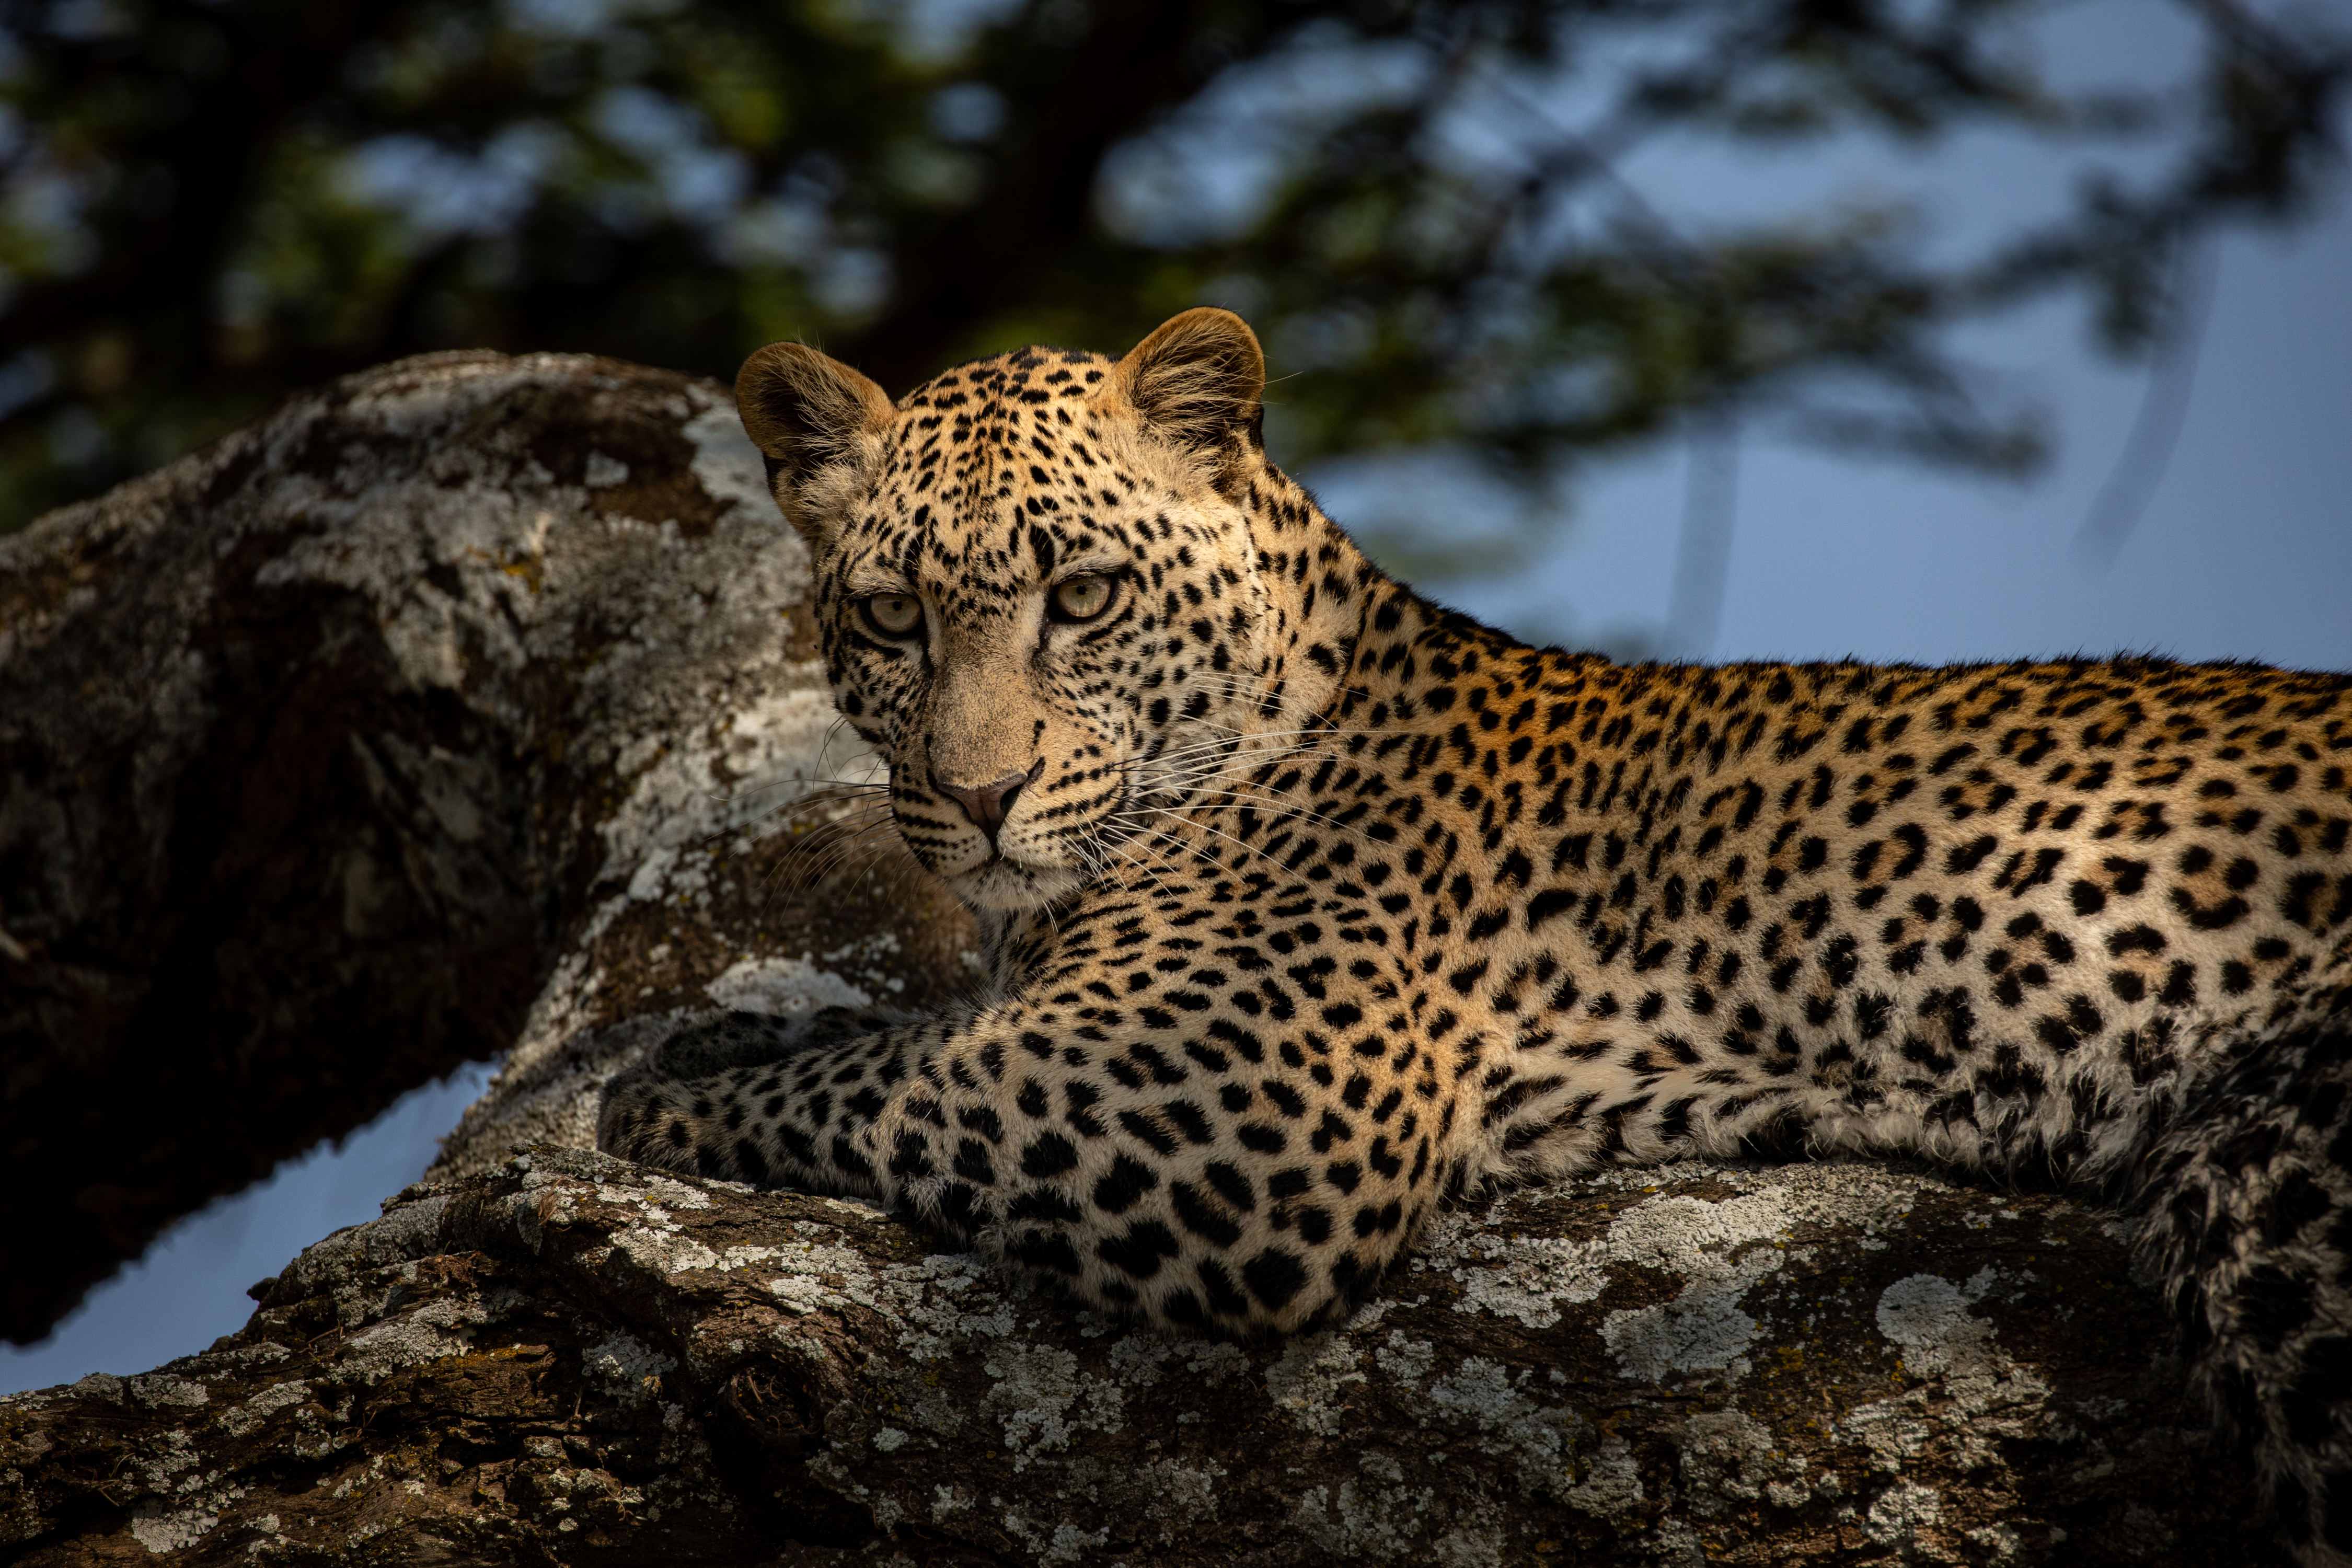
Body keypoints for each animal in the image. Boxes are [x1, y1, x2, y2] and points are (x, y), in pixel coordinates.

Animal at [599, 307, 2352, 1557]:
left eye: (1082, 597)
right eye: (891, 618)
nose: (977, 795)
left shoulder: (1241, 1089)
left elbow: (885, 1073)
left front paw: (659, 1089)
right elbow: (888, 1034)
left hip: (2284, 1179)